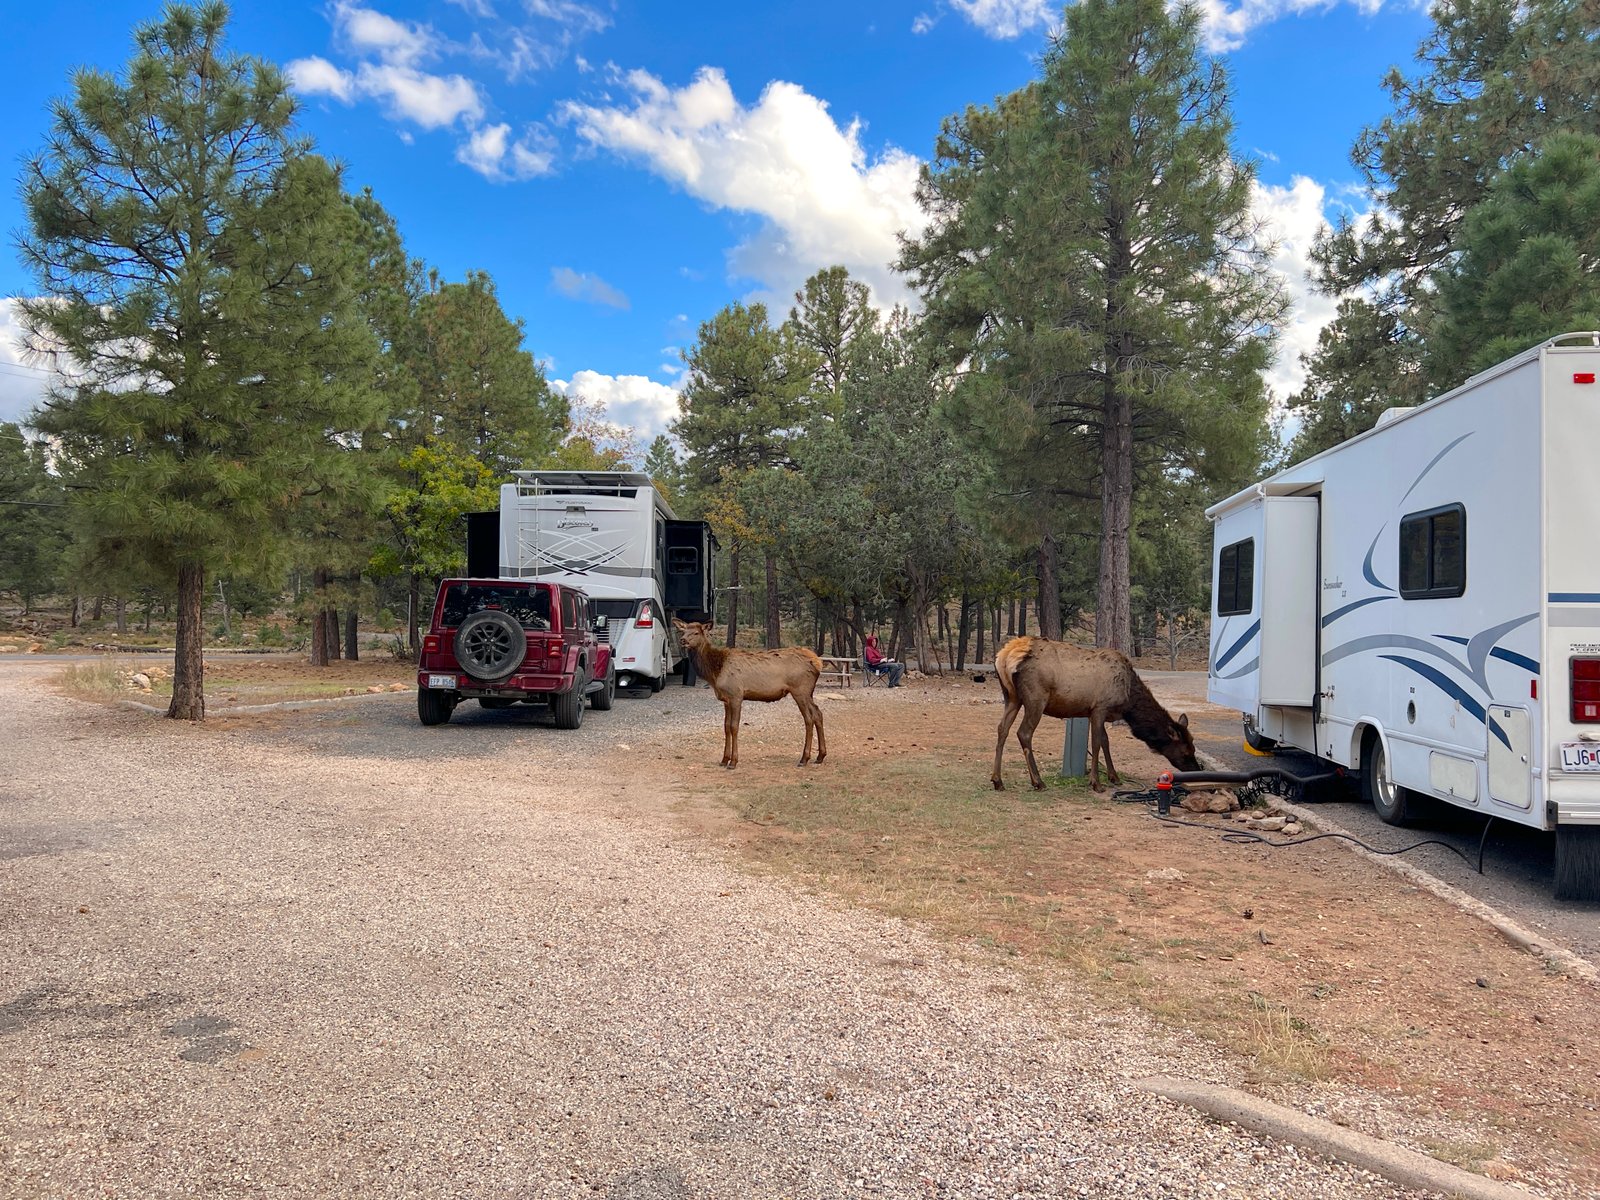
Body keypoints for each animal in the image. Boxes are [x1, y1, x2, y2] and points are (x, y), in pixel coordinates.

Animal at [673, 620, 827, 769]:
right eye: (683, 630)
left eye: (696, 632)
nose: (682, 640)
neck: (715, 673)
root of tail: (817, 662)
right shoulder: (726, 699)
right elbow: (726, 727)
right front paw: (724, 760)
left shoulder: (736, 695)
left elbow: (734, 727)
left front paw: (733, 762)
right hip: (808, 693)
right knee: (818, 713)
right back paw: (820, 756)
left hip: (800, 690)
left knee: (808, 718)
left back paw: (804, 758)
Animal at [991, 636, 1199, 792]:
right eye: (1186, 751)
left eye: (1193, 748)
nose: (1197, 769)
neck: (1128, 701)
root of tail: (1005, 656)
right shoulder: (1100, 707)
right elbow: (1097, 742)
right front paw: (1096, 783)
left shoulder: (1094, 712)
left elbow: (1106, 742)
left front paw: (1114, 777)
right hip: (1036, 697)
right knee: (1024, 733)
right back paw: (1038, 781)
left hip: (1011, 697)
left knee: (1002, 729)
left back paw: (997, 780)